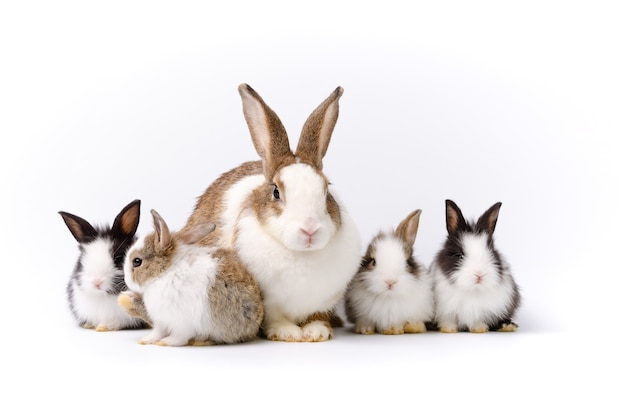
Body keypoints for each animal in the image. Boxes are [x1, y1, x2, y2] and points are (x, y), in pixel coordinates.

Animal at [58, 199, 146, 332]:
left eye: (119, 258)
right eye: (82, 259)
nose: (97, 282)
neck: (104, 296)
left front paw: (103, 327)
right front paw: (90, 325)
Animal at [119, 210, 264, 346]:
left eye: (137, 261)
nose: (126, 281)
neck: (165, 272)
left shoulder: (182, 322)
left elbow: (180, 337)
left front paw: (166, 342)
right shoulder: (161, 320)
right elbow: (158, 331)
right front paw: (146, 340)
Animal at [428, 200, 520, 334]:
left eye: (491, 253)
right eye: (460, 256)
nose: (479, 274)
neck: (472, 290)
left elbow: (478, 320)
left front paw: (480, 329)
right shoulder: (446, 311)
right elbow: (448, 320)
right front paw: (449, 329)